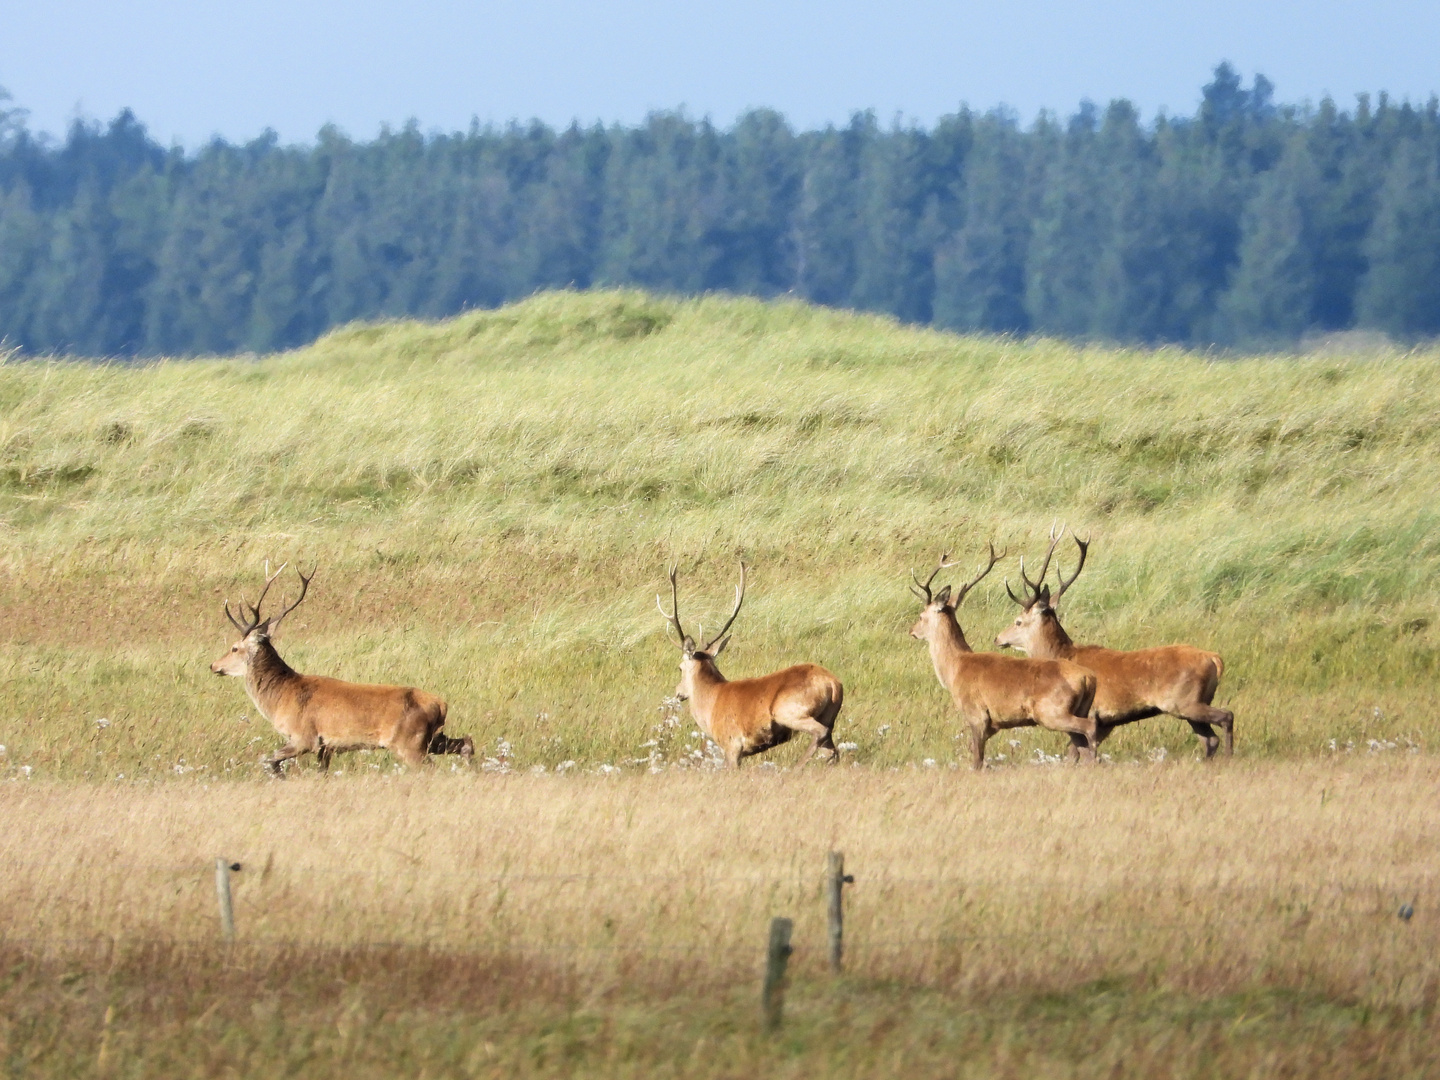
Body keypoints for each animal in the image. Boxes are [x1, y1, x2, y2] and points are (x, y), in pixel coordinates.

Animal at [210, 567, 475, 777]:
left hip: (409, 742)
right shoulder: (326, 747)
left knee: (432, 767)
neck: (281, 698)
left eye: (234, 648)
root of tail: (441, 704)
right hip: (431, 738)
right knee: (466, 742)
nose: (214, 665)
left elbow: (268, 760)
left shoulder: (304, 737)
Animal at [659, 567, 846, 771]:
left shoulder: (731, 744)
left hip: (790, 711)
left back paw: (795, 769)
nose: (678, 692)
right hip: (828, 715)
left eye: (679, 668)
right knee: (831, 750)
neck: (710, 706)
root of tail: (834, 684)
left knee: (821, 733)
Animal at [904, 550, 1094, 771]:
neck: (956, 668)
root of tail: (1088, 678)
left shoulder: (976, 713)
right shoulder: (993, 723)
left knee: (1089, 729)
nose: (912, 631)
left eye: (921, 615)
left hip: (1053, 711)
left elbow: (977, 760)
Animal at [996, 532, 1232, 760]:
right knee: (1210, 739)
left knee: (1226, 717)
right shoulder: (1106, 722)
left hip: (1184, 701)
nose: (998, 638)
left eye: (1018, 621)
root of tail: (1214, 659)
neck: (1064, 654)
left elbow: (1074, 753)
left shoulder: (1094, 714)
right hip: (1191, 705)